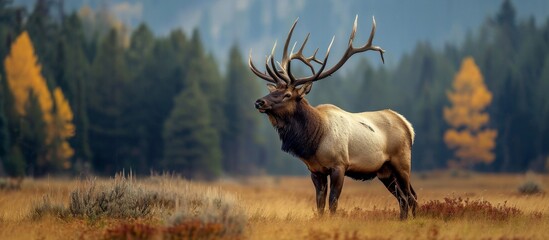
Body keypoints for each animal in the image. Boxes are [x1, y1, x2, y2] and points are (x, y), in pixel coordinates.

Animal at [248, 15, 416, 219]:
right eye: (273, 91)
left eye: (287, 94)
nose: (259, 102)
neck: (314, 139)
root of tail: (408, 126)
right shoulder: (315, 171)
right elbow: (320, 204)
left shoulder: (339, 165)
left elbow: (333, 202)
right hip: (384, 171)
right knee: (405, 198)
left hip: (402, 162)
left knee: (410, 197)